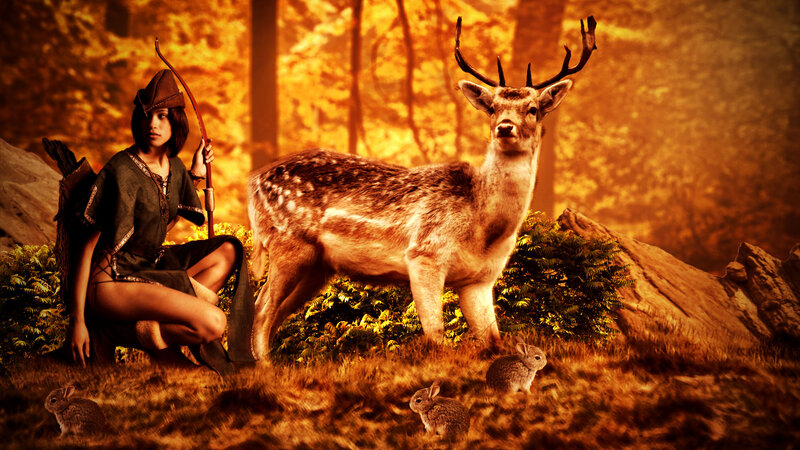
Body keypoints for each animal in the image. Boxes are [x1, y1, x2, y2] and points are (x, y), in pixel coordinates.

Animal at [247, 16, 597, 360]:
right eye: (493, 107)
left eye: (533, 109)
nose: (504, 127)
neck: (484, 228)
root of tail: (252, 182)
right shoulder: (424, 253)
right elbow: (436, 335)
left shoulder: (482, 279)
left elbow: (494, 341)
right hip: (288, 241)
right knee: (262, 306)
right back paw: (264, 367)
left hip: (318, 265)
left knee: (277, 311)